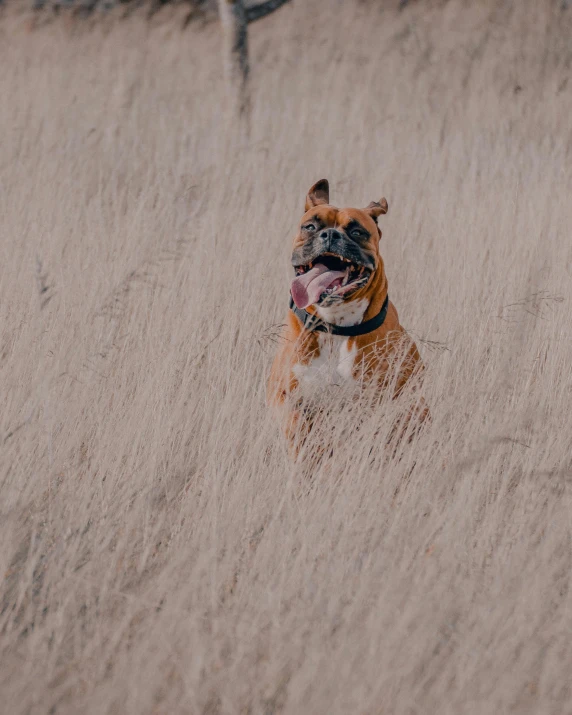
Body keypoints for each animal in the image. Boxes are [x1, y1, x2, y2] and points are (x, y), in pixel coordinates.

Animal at [268, 182, 428, 456]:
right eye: (310, 226)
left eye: (356, 231)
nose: (330, 235)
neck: (335, 326)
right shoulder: (283, 394)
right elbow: (295, 423)